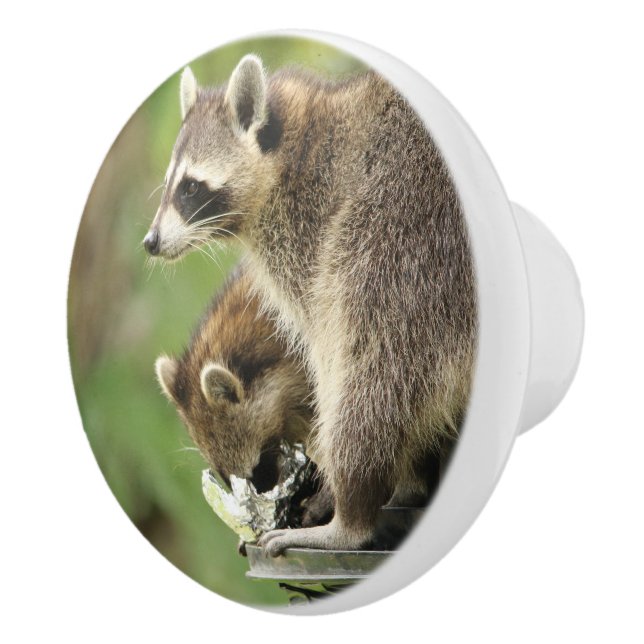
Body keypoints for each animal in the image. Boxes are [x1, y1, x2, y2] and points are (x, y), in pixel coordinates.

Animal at [145, 56, 477, 555]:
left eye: (190, 188)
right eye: (169, 185)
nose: (150, 242)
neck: (296, 151)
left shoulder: (323, 230)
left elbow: (334, 361)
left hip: (401, 247)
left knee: (373, 376)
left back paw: (350, 518)